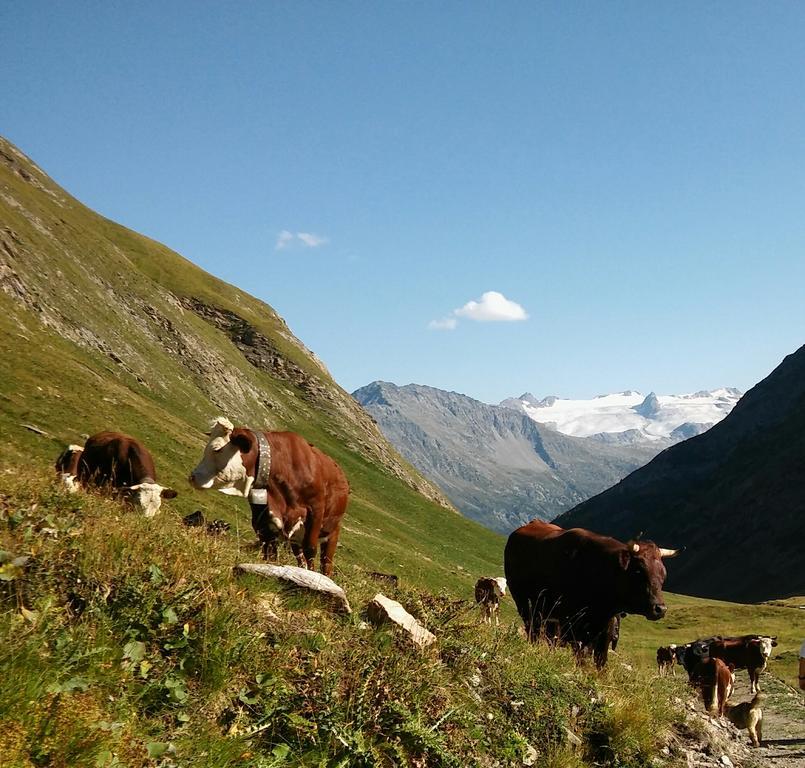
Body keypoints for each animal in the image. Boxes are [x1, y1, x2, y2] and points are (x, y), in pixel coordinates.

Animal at [192, 420, 352, 576]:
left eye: (217, 449)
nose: (193, 477)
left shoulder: (316, 509)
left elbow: (310, 550)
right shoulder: (263, 520)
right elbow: (270, 553)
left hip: (332, 531)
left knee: (326, 562)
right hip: (296, 540)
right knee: (300, 558)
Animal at [506, 520, 676, 664]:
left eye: (664, 574)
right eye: (639, 571)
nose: (660, 609)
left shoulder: (604, 631)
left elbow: (601, 661)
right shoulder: (574, 628)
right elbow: (581, 657)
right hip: (526, 605)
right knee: (533, 631)